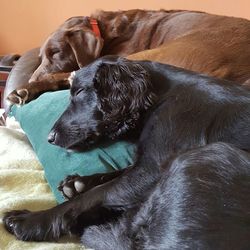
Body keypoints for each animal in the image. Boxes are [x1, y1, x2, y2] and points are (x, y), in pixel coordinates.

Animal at [2, 55, 250, 249]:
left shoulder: (152, 170)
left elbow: (93, 195)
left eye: (79, 92)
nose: (50, 138)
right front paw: (78, 183)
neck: (163, 93)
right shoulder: (145, 165)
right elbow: (115, 173)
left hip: (206, 156)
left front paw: (30, 220)